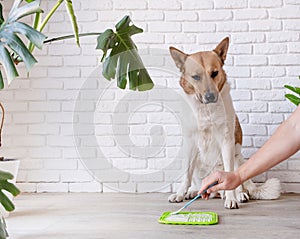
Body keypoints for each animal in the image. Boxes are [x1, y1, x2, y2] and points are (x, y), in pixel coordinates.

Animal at [169, 37, 282, 209]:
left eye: (214, 73)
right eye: (196, 77)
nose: (210, 96)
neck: (206, 110)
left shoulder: (227, 141)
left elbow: (229, 176)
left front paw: (232, 198)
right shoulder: (190, 143)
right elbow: (186, 175)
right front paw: (180, 193)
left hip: (237, 157)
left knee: (239, 183)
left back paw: (239, 195)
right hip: (199, 164)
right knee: (199, 183)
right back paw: (194, 191)